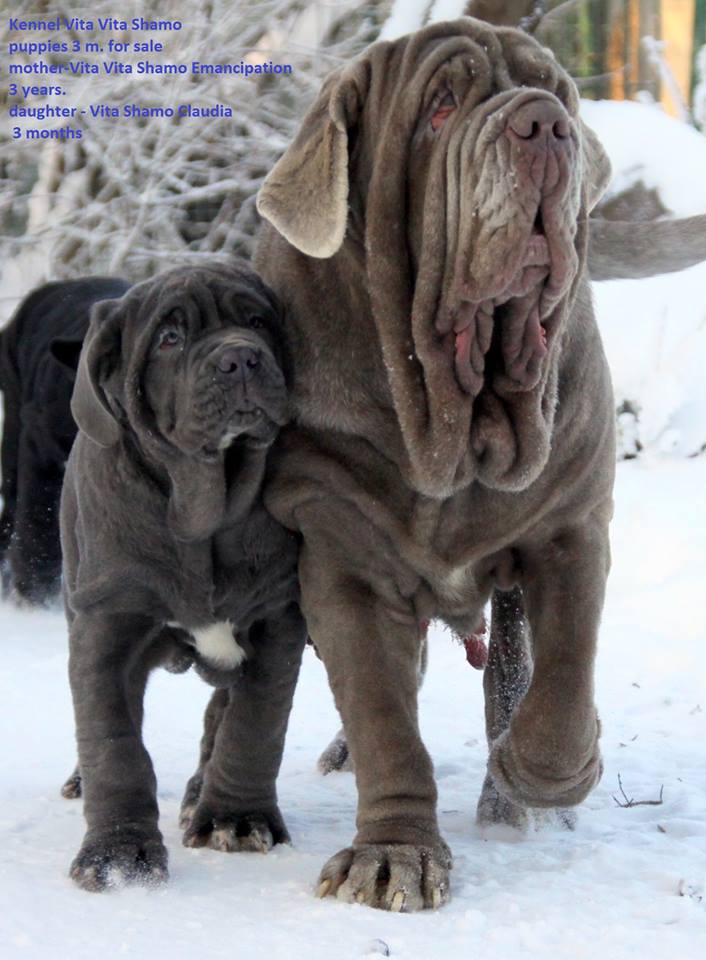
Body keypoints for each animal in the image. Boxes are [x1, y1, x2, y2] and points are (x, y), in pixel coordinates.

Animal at [60, 258, 302, 888]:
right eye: (170, 338)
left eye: (257, 322)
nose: (240, 358)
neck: (201, 514)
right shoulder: (106, 626)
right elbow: (113, 742)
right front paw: (117, 854)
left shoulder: (277, 621)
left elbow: (255, 724)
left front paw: (237, 819)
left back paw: (201, 794)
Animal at [253, 16, 628, 908]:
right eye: (442, 107)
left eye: (552, 91)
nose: (545, 125)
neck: (452, 427)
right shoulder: (342, 553)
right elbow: (383, 715)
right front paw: (394, 854)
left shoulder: (571, 525)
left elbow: (564, 674)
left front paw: (545, 774)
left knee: (513, 672)